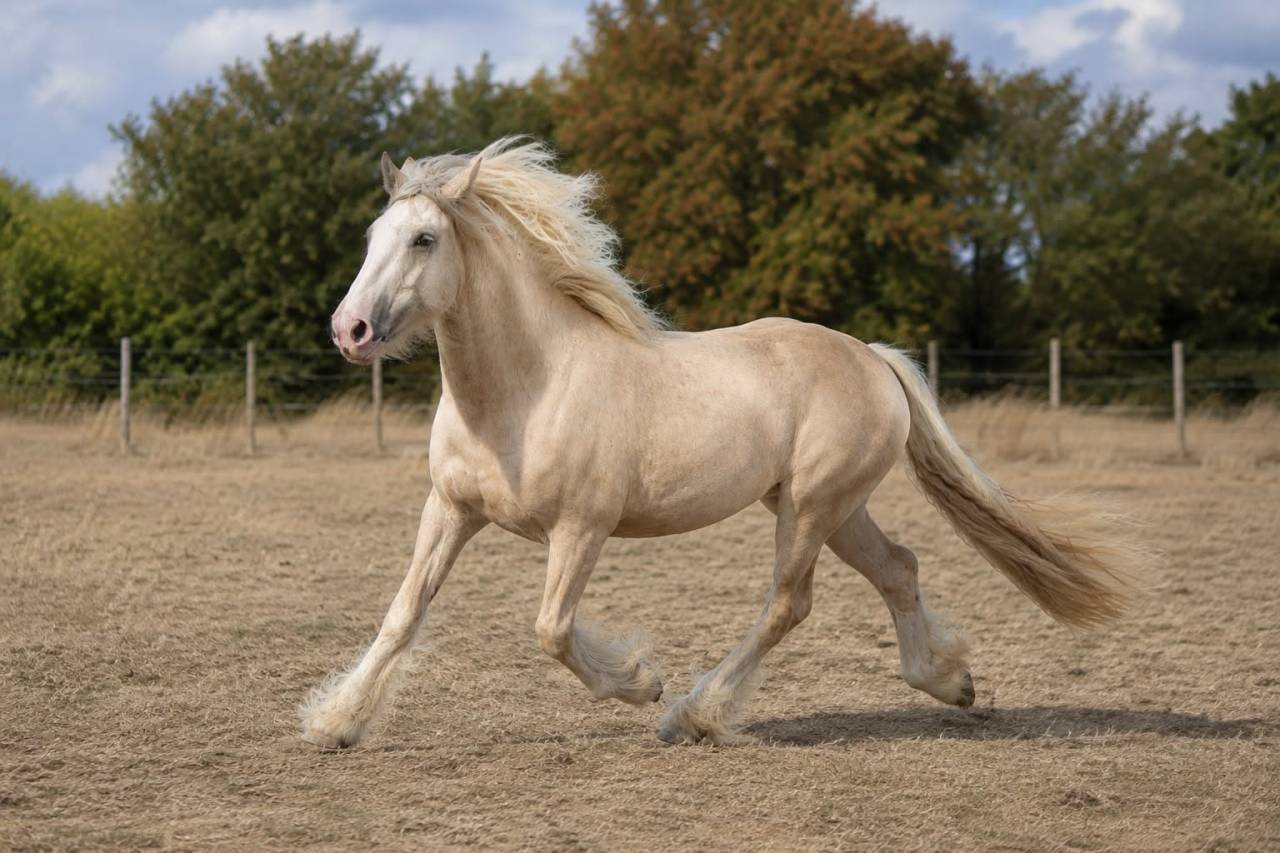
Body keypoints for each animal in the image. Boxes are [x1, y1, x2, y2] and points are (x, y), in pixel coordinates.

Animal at [300, 139, 1138, 748]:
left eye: (424, 238)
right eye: (374, 236)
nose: (351, 329)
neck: (524, 391)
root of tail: (873, 358)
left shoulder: (581, 528)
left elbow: (551, 629)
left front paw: (642, 681)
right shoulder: (449, 509)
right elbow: (403, 612)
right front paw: (334, 723)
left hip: (810, 506)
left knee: (787, 604)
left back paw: (694, 714)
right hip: (832, 507)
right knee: (899, 567)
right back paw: (950, 682)